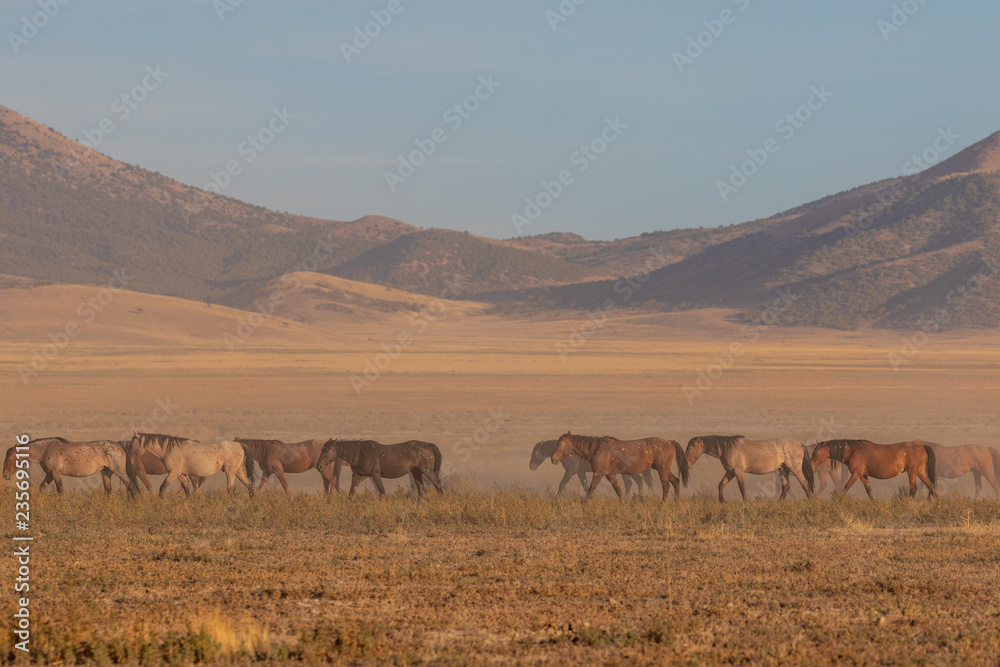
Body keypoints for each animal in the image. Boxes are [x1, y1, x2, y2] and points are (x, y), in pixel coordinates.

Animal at [1, 438, 137, 496]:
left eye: (8, 458)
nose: (5, 475)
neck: (45, 449)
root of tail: (119, 445)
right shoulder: (50, 474)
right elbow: (42, 487)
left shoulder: (56, 473)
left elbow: (60, 490)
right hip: (106, 473)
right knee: (108, 490)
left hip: (119, 471)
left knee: (131, 486)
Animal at [124, 436, 256, 498]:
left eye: (132, 443)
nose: (128, 456)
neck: (170, 449)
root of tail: (240, 445)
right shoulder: (181, 474)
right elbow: (186, 490)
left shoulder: (173, 473)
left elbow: (162, 488)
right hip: (237, 471)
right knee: (248, 484)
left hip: (230, 472)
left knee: (231, 488)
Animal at [548, 434, 688, 500]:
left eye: (560, 444)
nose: (553, 458)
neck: (597, 448)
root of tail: (670, 442)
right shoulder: (611, 475)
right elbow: (618, 490)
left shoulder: (598, 473)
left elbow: (591, 489)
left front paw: (584, 506)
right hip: (665, 470)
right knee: (676, 481)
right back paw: (677, 502)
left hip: (662, 470)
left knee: (666, 485)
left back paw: (663, 504)